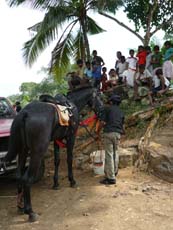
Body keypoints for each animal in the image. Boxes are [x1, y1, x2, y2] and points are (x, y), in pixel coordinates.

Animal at [1, 86, 103, 221]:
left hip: (23, 151)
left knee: (18, 175)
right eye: (99, 96)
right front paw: (72, 181)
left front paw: (56, 183)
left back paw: (20, 206)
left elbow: (57, 161)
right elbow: (69, 158)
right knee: (26, 179)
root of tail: (24, 113)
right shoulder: (71, 137)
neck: (72, 105)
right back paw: (30, 212)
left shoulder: (56, 139)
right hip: (37, 152)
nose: (102, 109)